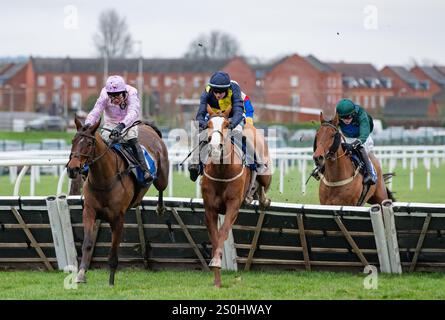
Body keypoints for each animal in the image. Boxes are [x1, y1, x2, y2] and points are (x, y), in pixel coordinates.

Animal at [66, 117, 168, 284]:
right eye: (73, 140)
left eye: (89, 143)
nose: (72, 169)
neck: (103, 180)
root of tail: (146, 125)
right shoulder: (89, 212)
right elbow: (87, 244)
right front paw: (81, 274)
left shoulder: (118, 219)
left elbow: (113, 252)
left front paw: (111, 282)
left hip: (162, 176)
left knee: (161, 187)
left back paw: (160, 207)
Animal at [201, 105, 270, 288]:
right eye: (208, 124)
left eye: (226, 124)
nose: (215, 146)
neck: (222, 171)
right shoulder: (210, 208)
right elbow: (215, 236)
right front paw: (217, 279)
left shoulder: (233, 205)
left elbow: (224, 232)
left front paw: (217, 262)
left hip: (265, 172)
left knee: (263, 185)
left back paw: (262, 199)